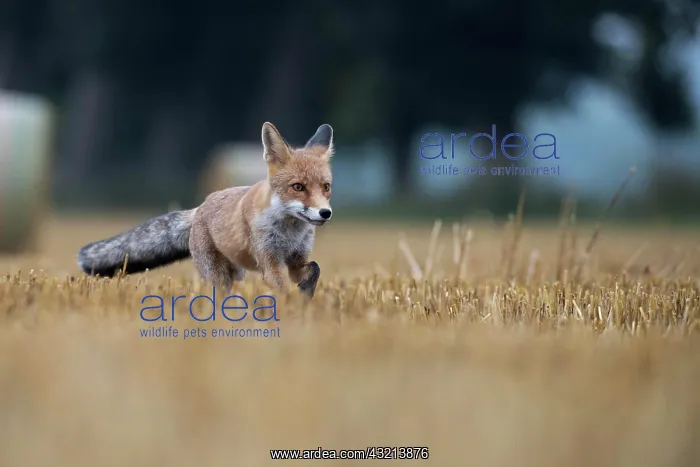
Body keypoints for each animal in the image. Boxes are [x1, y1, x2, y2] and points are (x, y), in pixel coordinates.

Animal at [76, 122, 334, 298]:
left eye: (326, 187)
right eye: (298, 187)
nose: (325, 213)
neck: (289, 233)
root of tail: (201, 206)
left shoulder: (296, 260)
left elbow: (315, 269)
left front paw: (306, 294)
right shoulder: (270, 263)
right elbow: (282, 289)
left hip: (236, 273)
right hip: (218, 276)